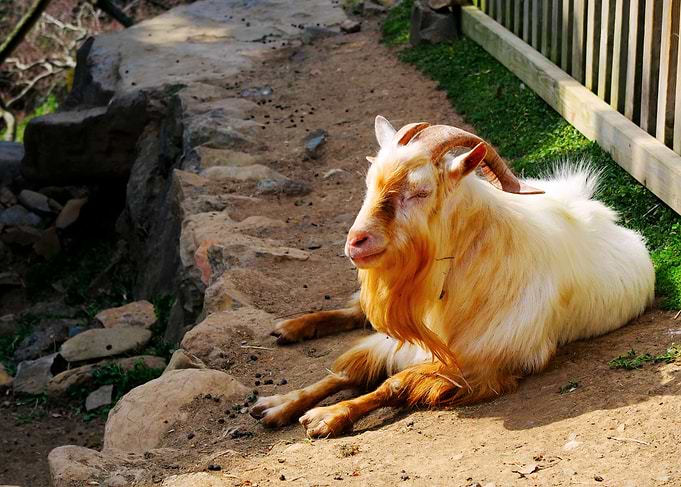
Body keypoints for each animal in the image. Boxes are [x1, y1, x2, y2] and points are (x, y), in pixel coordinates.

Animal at [251, 116, 654, 437]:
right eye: (369, 184)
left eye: (421, 190)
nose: (356, 242)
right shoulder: (401, 339)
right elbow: (346, 371)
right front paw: (278, 403)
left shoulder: (479, 365)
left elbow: (391, 385)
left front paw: (326, 416)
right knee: (356, 311)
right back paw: (292, 326)